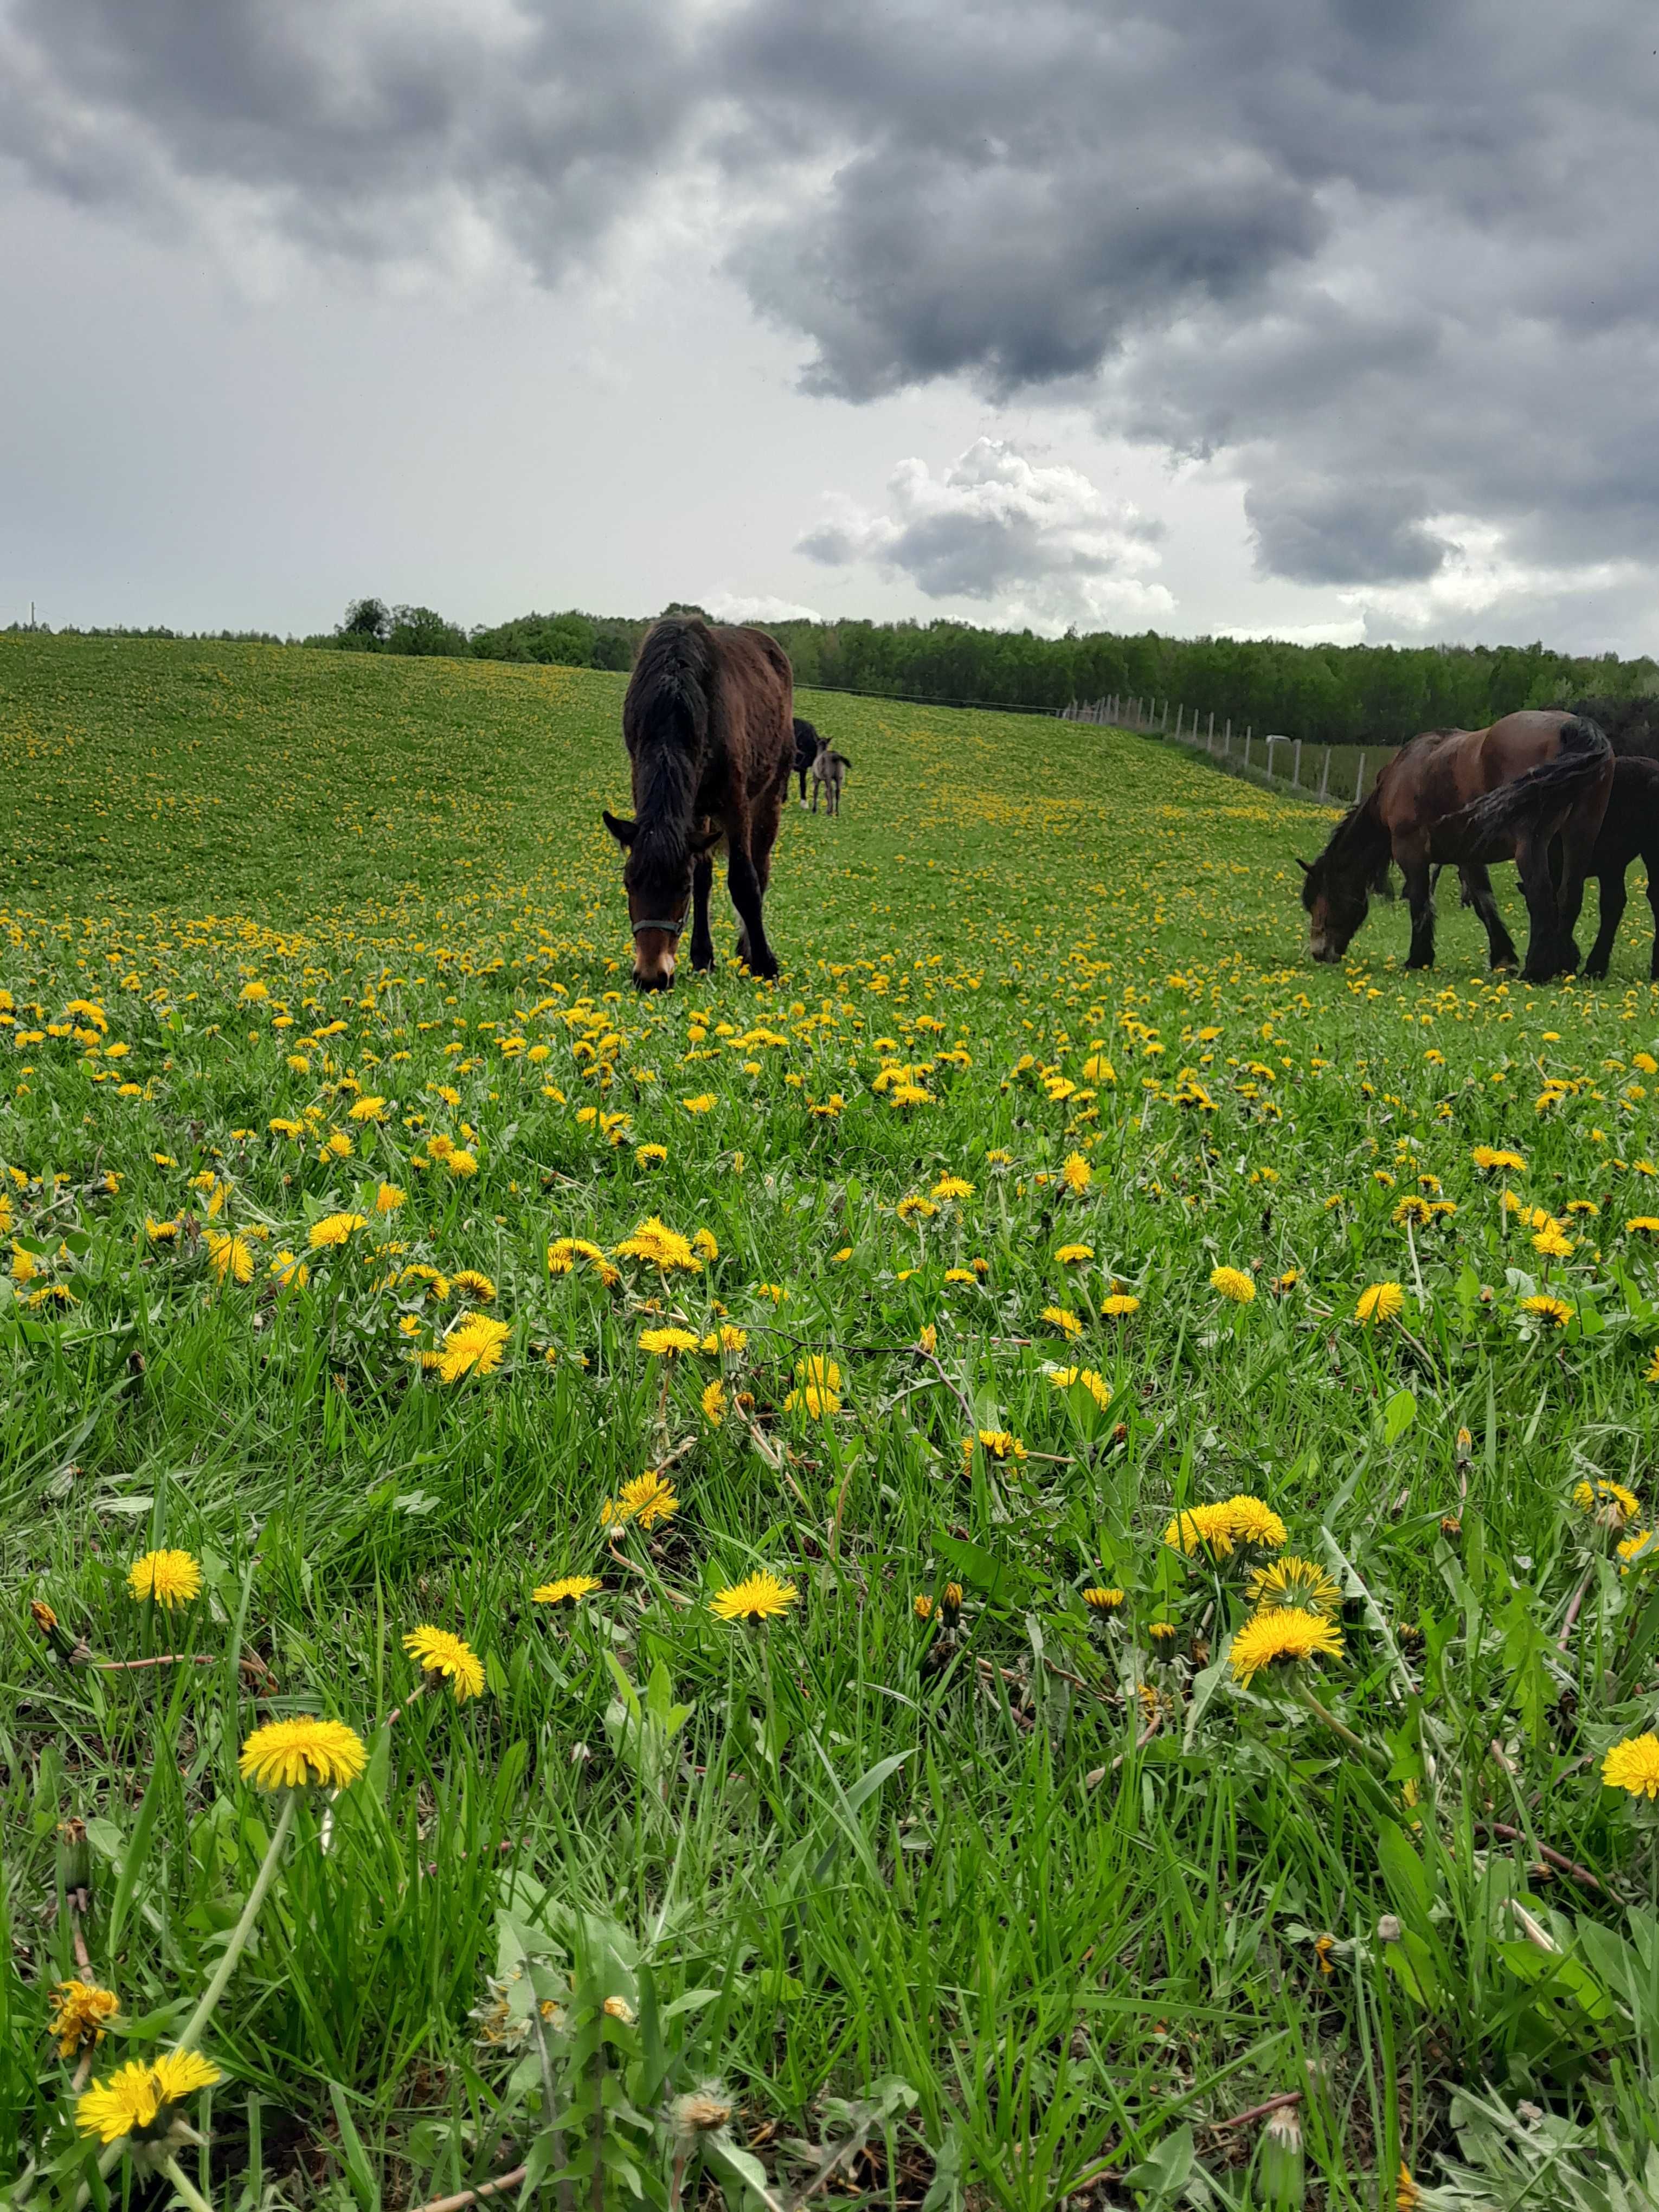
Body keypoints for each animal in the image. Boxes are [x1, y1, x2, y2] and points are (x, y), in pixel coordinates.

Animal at [606, 606, 800, 986]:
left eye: (679, 887)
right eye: (628, 883)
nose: (651, 977)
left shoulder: (735, 805)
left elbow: (744, 882)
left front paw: (765, 963)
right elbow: (703, 878)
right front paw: (702, 957)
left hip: (768, 796)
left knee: (761, 868)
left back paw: (747, 951)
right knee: (707, 876)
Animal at [814, 748, 849, 818]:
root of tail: (835, 756)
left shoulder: (816, 778)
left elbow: (816, 792)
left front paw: (814, 810)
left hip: (828, 777)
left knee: (830, 791)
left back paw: (830, 812)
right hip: (839, 776)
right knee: (837, 792)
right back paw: (836, 812)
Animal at [1309, 712, 1619, 982]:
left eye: (1320, 900)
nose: (1318, 953)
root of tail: (1572, 726)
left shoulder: (1411, 853)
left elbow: (1421, 904)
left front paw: (1418, 959)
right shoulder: (1468, 858)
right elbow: (1485, 904)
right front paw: (1503, 959)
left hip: (1532, 845)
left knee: (1541, 897)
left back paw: (1536, 971)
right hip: (1580, 836)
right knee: (1569, 895)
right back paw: (1562, 964)